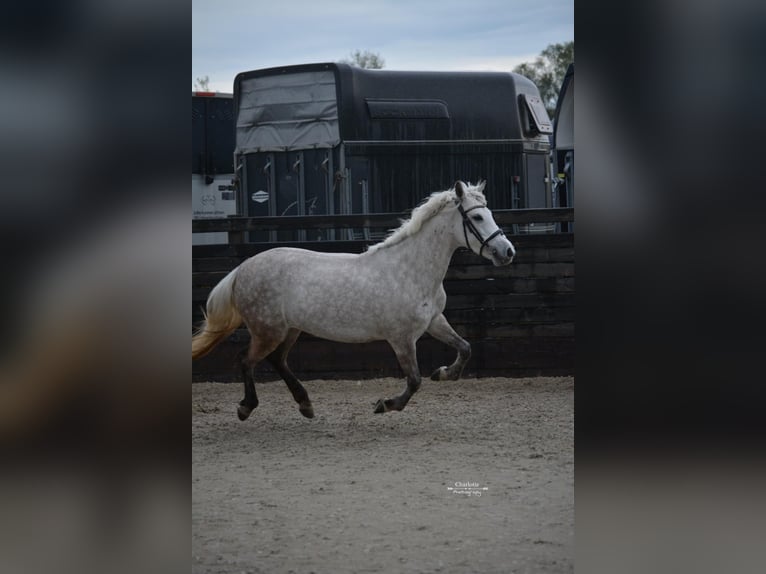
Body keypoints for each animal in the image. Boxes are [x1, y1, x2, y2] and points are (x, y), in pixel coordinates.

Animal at [192, 180, 516, 419]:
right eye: (477, 217)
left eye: (489, 214)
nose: (507, 251)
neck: (410, 270)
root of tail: (243, 268)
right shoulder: (401, 338)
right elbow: (414, 380)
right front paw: (385, 405)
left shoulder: (434, 321)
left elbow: (465, 348)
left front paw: (444, 374)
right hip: (267, 330)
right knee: (246, 360)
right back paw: (246, 408)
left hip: (289, 329)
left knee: (276, 360)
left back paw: (306, 405)